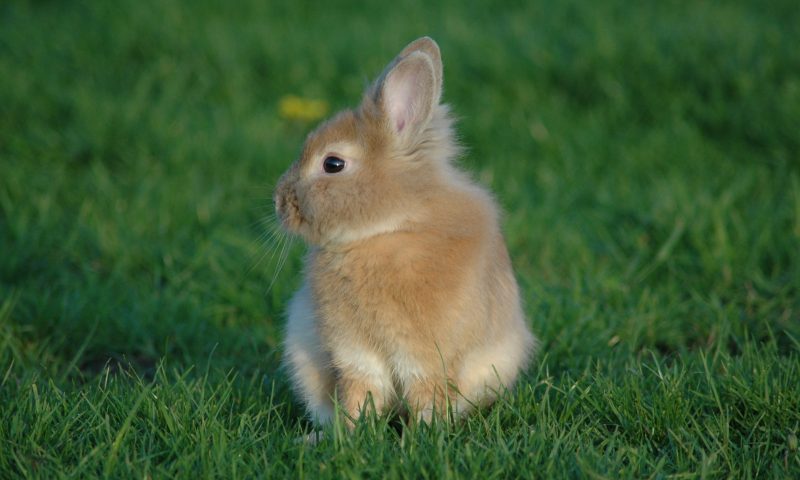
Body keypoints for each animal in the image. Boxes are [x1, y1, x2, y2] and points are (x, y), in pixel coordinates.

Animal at [274, 37, 536, 427]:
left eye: (332, 164)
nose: (279, 202)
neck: (388, 229)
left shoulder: (426, 356)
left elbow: (425, 393)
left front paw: (424, 433)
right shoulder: (355, 353)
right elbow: (359, 391)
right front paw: (349, 432)